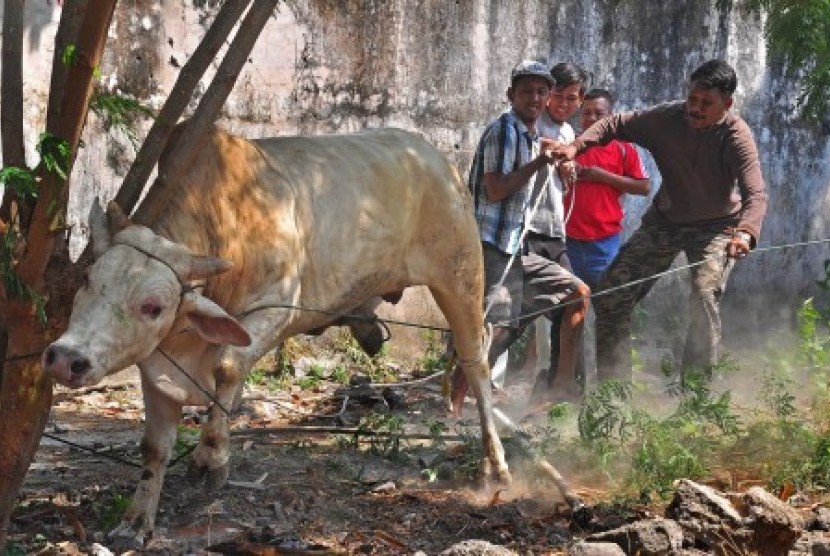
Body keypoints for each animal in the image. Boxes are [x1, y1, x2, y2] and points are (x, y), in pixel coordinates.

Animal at [42, 125, 510, 544]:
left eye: (152, 306)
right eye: (87, 279)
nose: (65, 358)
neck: (223, 220)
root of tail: (433, 156)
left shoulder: (278, 306)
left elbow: (229, 366)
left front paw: (210, 458)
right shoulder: (156, 366)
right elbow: (154, 448)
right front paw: (136, 523)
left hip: (460, 275)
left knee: (476, 361)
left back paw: (496, 465)